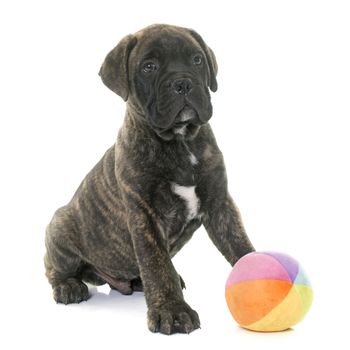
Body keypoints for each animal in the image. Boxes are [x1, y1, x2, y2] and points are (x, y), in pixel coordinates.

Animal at [44, 23, 254, 334]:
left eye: (197, 60)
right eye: (149, 67)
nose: (183, 83)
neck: (180, 142)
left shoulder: (220, 204)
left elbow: (240, 244)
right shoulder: (146, 216)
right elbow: (157, 265)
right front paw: (172, 311)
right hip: (60, 225)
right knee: (54, 267)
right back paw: (68, 286)